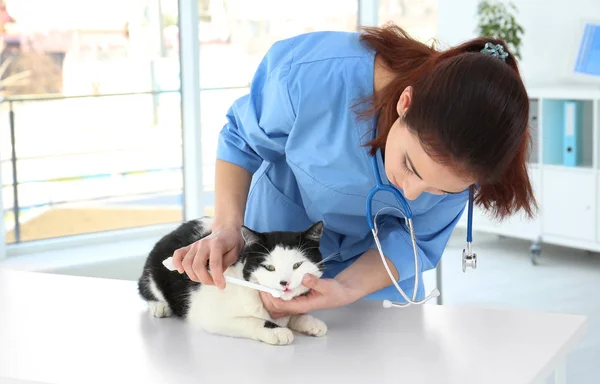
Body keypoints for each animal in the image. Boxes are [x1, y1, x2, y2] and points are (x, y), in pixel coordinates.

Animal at [137, 218, 328, 346]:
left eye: (297, 265)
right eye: (269, 267)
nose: (284, 283)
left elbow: (294, 314)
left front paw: (308, 321)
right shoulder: (209, 315)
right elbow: (250, 320)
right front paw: (277, 330)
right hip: (154, 272)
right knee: (144, 288)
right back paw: (159, 306)